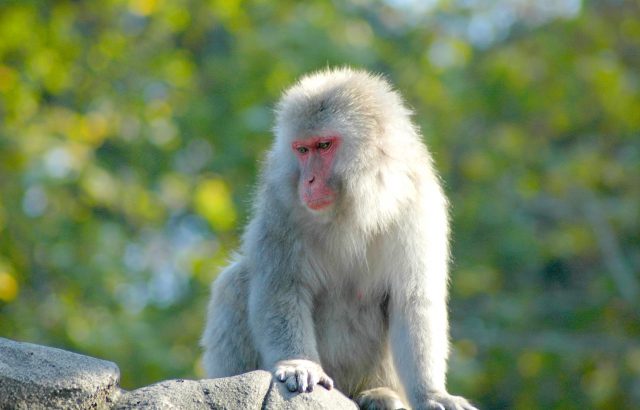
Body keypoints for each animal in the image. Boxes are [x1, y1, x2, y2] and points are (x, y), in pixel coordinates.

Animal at [200, 68, 476, 410]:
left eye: (324, 145)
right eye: (302, 150)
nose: (308, 181)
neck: (356, 202)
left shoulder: (419, 204)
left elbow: (412, 300)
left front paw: (432, 394)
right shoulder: (280, 203)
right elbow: (281, 286)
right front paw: (299, 363)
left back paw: (378, 394)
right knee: (235, 281)